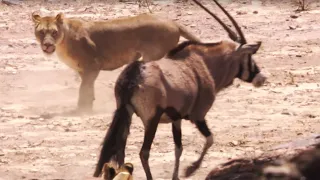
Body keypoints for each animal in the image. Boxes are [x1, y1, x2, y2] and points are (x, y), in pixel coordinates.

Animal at [30, 11, 200, 112]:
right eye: (41, 32)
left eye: (53, 32)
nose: (47, 45)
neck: (62, 43)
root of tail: (172, 22)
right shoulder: (83, 70)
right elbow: (88, 87)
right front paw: (88, 105)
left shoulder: (93, 65)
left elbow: (83, 89)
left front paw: (82, 110)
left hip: (154, 56)